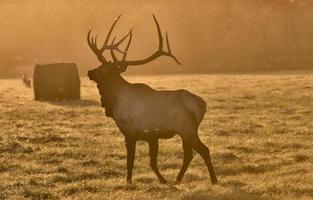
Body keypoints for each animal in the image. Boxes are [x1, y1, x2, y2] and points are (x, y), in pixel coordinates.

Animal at [86, 14, 217, 184]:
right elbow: (153, 162)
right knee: (189, 154)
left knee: (203, 150)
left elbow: (130, 162)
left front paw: (128, 181)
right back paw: (177, 179)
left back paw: (214, 180)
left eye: (101, 68)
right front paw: (163, 180)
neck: (114, 102)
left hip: (187, 128)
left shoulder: (129, 132)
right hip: (186, 131)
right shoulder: (151, 136)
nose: (89, 72)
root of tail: (201, 104)